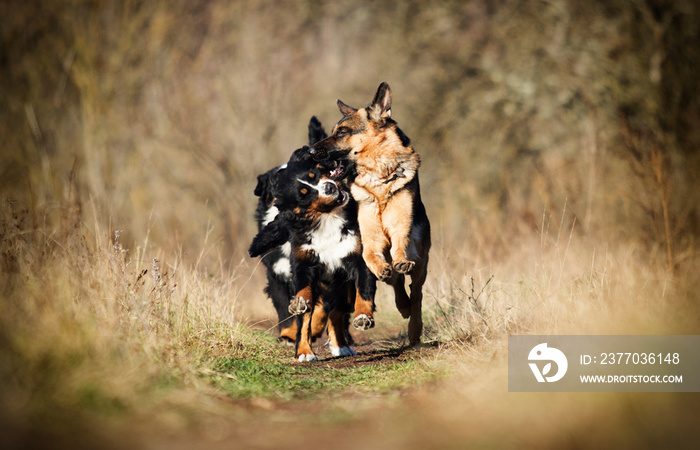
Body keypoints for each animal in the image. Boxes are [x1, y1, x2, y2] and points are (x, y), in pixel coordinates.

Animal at [249, 146, 374, 360]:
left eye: (314, 174)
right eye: (304, 194)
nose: (329, 187)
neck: (327, 219)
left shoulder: (357, 258)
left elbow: (362, 293)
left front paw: (363, 316)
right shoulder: (298, 267)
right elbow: (298, 310)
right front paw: (300, 346)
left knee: (337, 310)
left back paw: (340, 345)